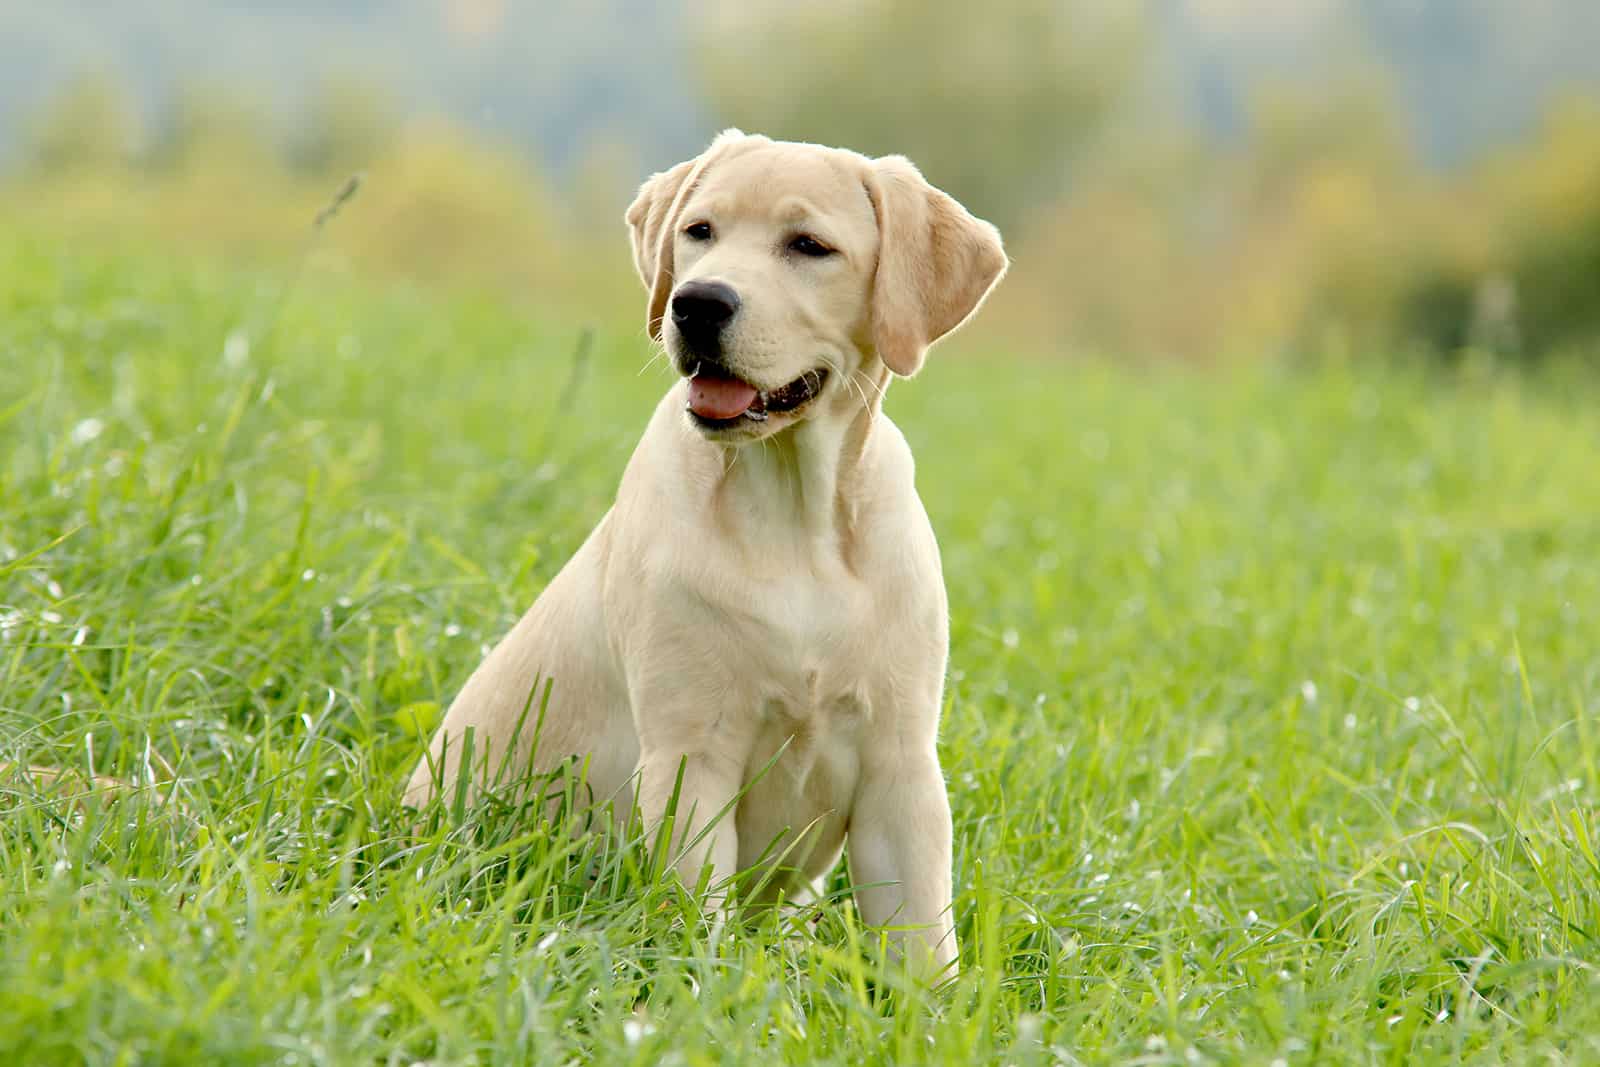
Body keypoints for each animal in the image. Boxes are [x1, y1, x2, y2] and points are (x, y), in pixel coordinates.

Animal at [406, 129, 1004, 979]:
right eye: (699, 232)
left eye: (810, 246)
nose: (697, 302)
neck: (793, 514)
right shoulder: (691, 756)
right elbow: (701, 921)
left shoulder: (901, 764)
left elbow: (921, 942)